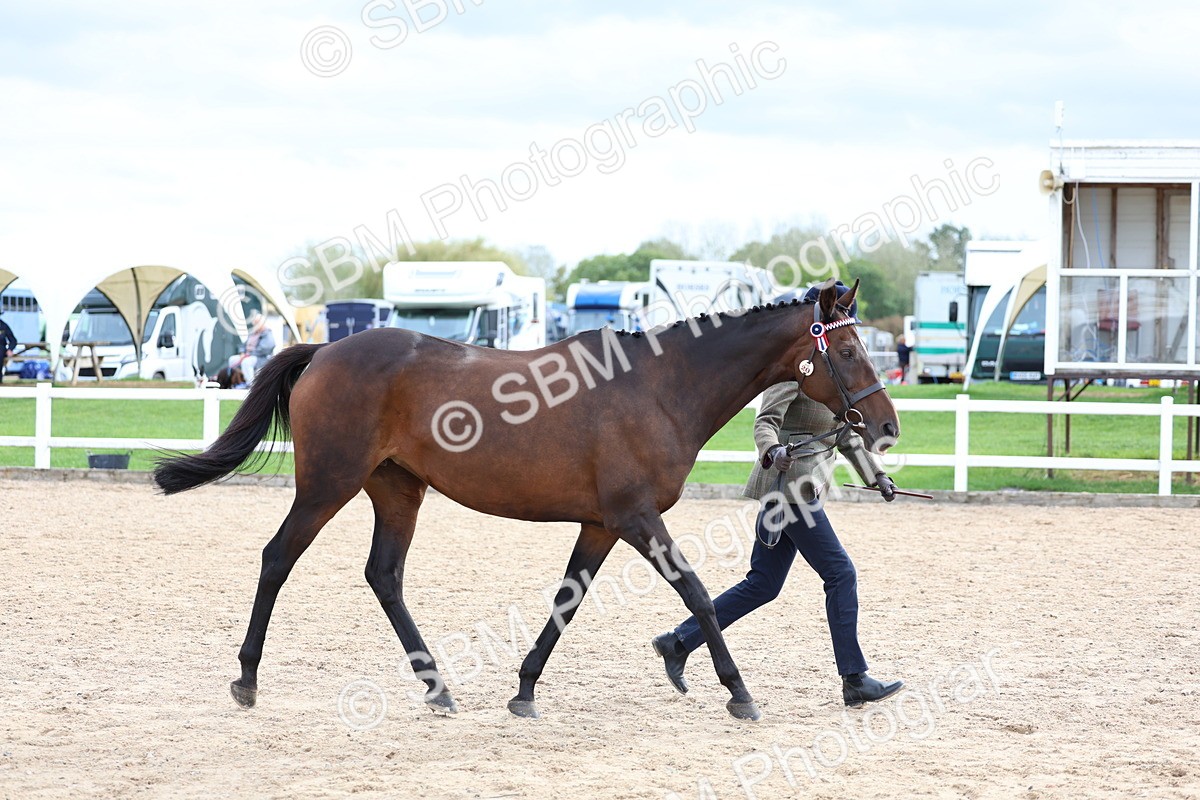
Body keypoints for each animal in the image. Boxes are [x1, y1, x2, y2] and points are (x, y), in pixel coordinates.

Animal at [154, 278, 899, 722]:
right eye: (851, 351)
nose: (887, 427)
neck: (659, 387)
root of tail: (322, 352)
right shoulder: (635, 517)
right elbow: (694, 590)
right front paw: (737, 691)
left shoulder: (602, 523)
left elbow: (568, 599)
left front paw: (524, 690)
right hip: (326, 485)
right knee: (278, 558)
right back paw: (247, 679)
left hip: (397, 489)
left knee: (384, 575)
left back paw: (439, 688)